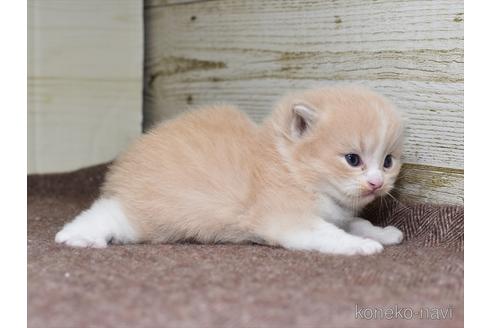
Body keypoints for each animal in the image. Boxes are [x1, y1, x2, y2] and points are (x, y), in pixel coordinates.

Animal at [56, 86, 404, 255]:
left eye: (388, 161)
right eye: (353, 159)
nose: (376, 183)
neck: (290, 166)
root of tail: (123, 170)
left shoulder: (337, 213)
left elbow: (355, 222)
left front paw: (381, 232)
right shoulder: (289, 219)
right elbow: (331, 234)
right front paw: (360, 246)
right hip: (149, 216)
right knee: (107, 213)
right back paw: (77, 235)